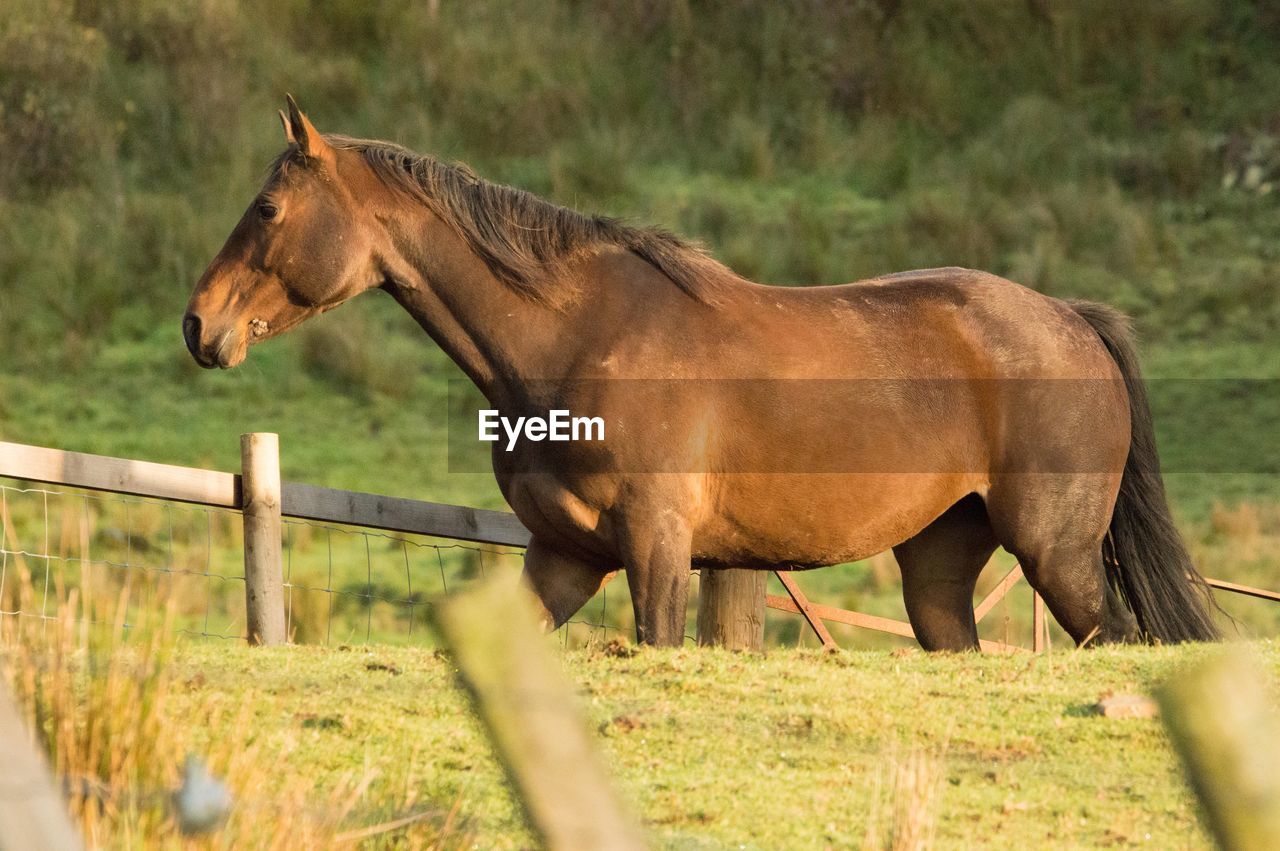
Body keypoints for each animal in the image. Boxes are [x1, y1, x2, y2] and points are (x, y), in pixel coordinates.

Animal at [183, 95, 1218, 647]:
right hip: (939, 563)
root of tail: (1074, 323)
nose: (200, 325)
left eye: (268, 209)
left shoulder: (658, 548)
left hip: (1060, 555)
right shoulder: (564, 555)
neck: (576, 339)